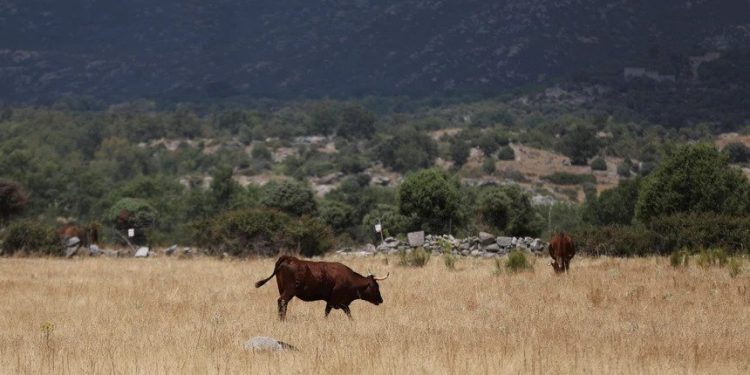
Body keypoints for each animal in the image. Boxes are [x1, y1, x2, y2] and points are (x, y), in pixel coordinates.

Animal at [258, 258, 390, 322]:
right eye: (376, 286)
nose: (381, 300)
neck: (350, 279)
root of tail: (288, 259)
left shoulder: (341, 303)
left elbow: (348, 313)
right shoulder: (333, 300)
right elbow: (327, 312)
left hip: (282, 289)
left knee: (282, 303)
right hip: (289, 291)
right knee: (282, 301)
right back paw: (282, 320)